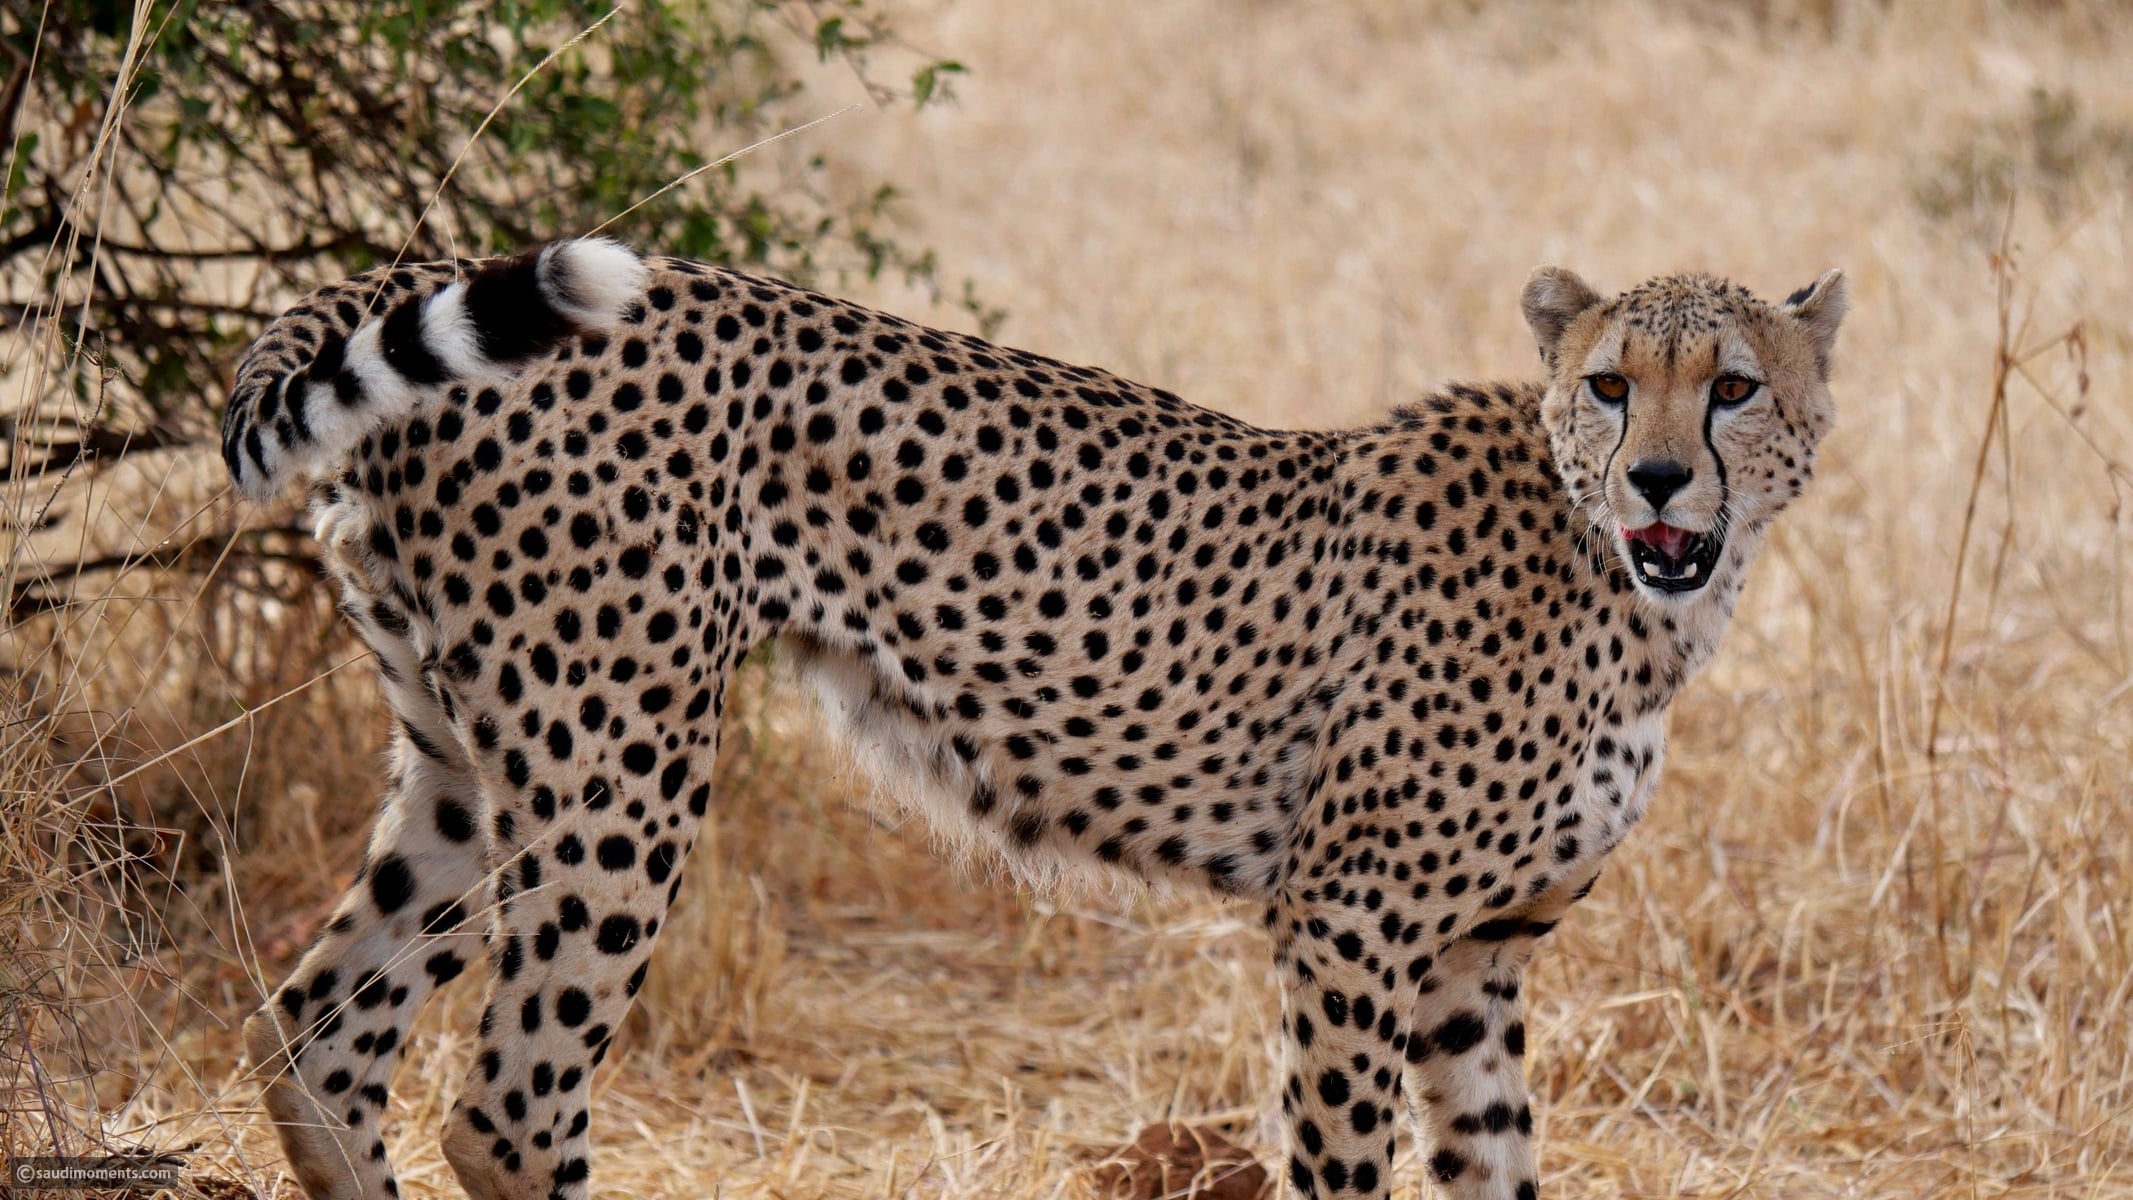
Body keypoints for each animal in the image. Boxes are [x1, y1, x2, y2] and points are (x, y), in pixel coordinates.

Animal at [222, 237, 1845, 1200]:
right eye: (1610, 385)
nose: (1657, 481)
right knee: (505, 1103)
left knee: (317, 1030)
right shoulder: (1351, 919)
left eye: (1733, 387)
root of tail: (409, 257)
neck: (1634, 587)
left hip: (463, 760)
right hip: (618, 769)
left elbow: (1494, 1168)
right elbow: (1340, 1158)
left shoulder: (1474, 956)